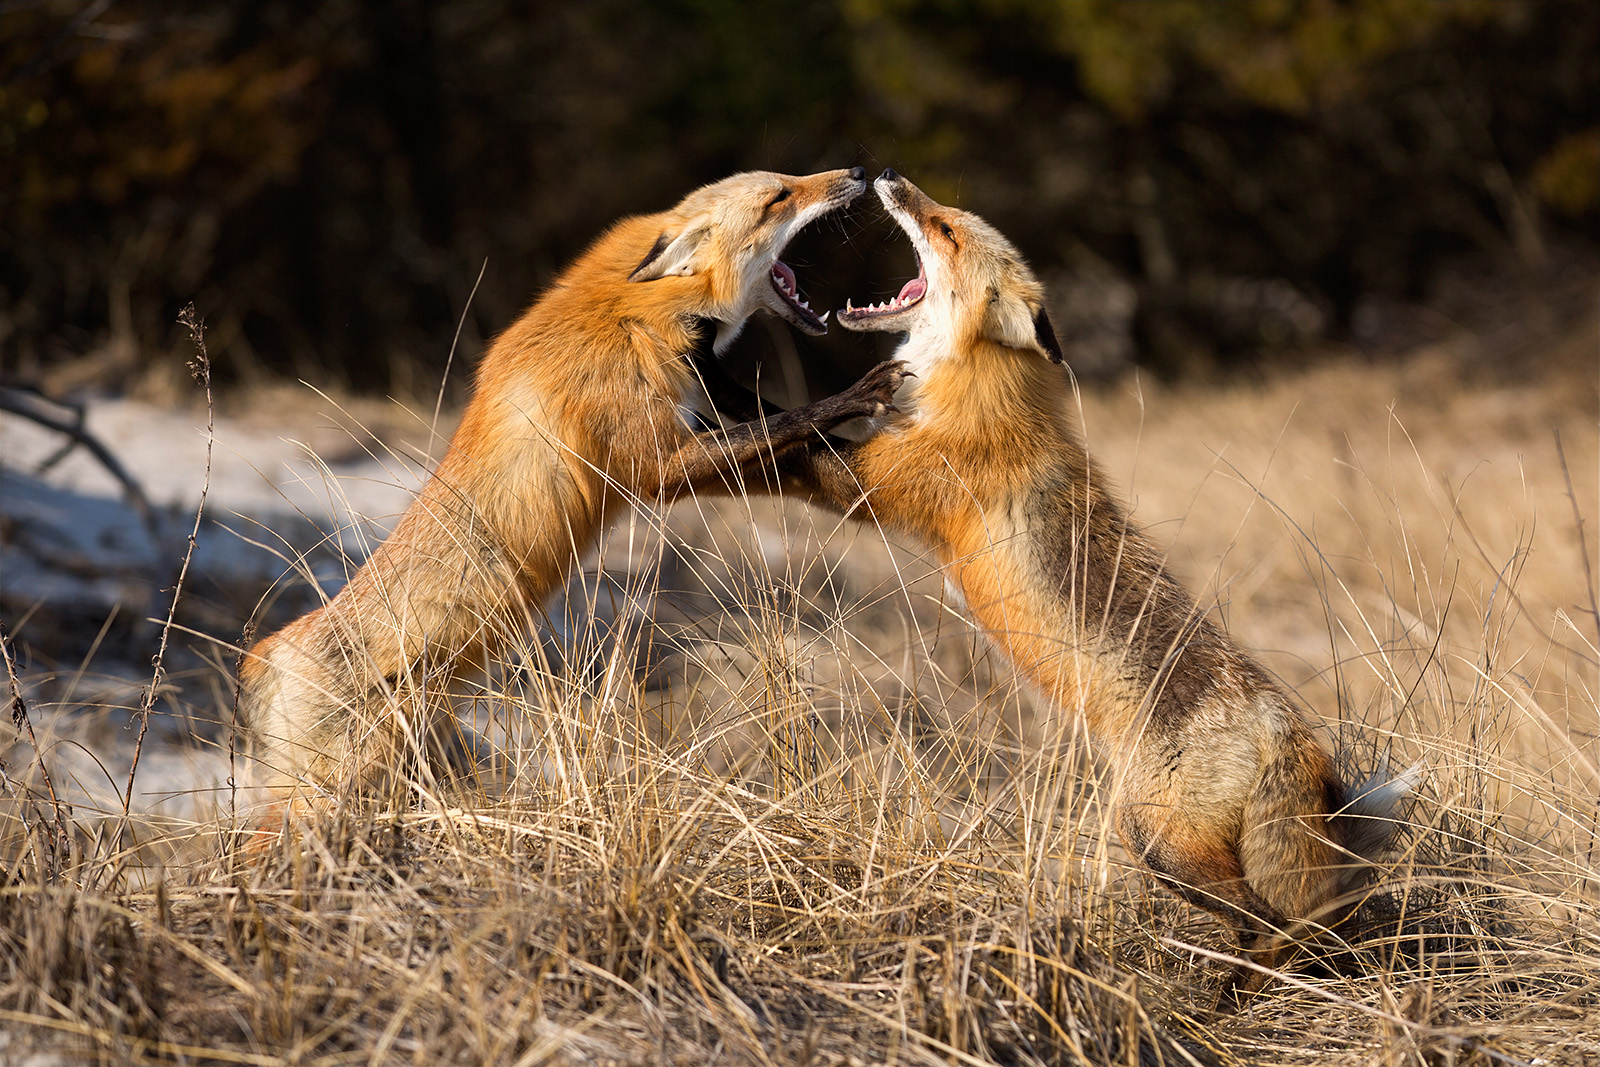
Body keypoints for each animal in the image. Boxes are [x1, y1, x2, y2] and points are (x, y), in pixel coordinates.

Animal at [238, 166, 910, 815]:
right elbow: (789, 421)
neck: (637, 314)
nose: (858, 170)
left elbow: (781, 436)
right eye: (779, 197)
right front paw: (857, 396)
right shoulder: (654, 466)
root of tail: (267, 653)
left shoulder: (684, 435)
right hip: (328, 793)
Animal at [718, 170, 1410, 1005]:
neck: (973, 388)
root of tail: (1287, 730)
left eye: (945, 230)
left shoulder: (871, 487)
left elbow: (776, 438)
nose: (885, 176)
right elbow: (779, 424)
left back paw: (1236, 994)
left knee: (1269, 918)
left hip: (1156, 839)